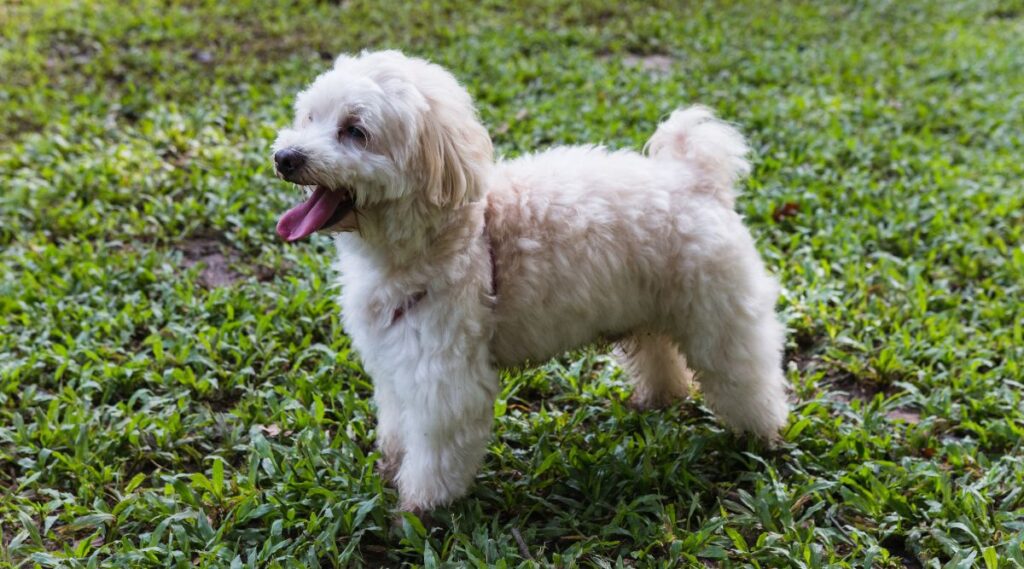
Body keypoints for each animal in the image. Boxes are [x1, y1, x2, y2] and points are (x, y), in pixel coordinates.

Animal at [268, 49, 786, 511]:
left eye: (355, 131)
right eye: (309, 117)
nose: (284, 157)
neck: (450, 234)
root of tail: (696, 178)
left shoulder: (444, 377)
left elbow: (435, 446)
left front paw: (420, 506)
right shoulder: (395, 358)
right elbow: (397, 420)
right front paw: (391, 465)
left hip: (719, 315)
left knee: (745, 373)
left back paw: (761, 435)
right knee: (660, 350)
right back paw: (658, 398)